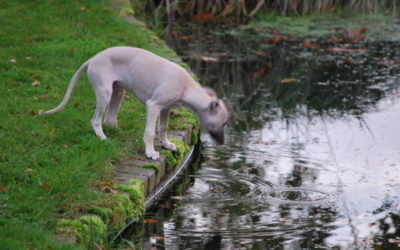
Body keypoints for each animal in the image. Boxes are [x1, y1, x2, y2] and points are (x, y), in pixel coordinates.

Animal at [43, 46, 228, 160]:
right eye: (224, 123)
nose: (222, 143)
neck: (186, 86)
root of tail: (93, 58)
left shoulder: (166, 108)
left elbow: (163, 127)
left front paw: (166, 144)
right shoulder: (153, 105)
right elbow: (150, 131)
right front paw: (150, 152)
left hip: (118, 92)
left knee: (109, 119)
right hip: (104, 93)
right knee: (95, 120)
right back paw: (102, 137)